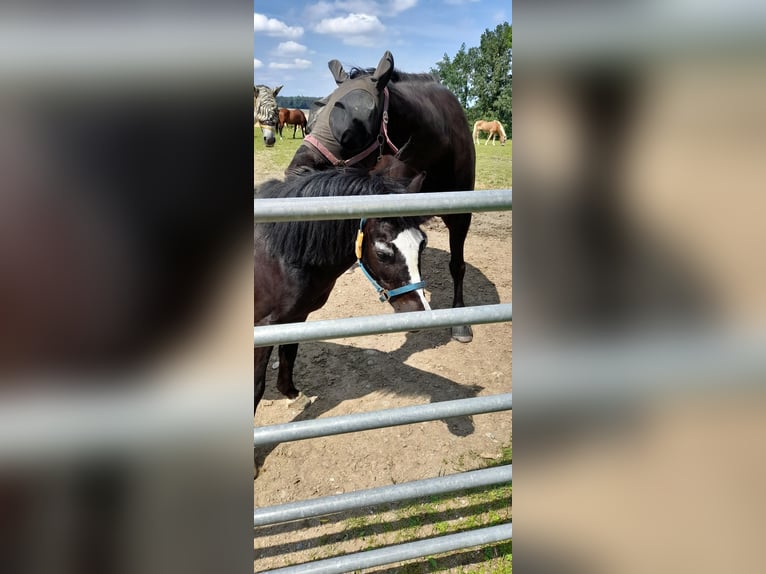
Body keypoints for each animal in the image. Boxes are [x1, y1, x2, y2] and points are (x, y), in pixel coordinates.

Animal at [255, 166, 428, 414]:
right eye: (383, 252)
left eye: (423, 244)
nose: (417, 313)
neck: (277, 255)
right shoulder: (263, 325)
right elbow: (257, 386)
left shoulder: (295, 317)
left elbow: (289, 356)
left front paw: (292, 395)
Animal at [288, 50, 480, 342]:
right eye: (311, 122)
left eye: (353, 129)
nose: (296, 172)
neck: (440, 144)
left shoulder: (461, 216)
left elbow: (456, 265)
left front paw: (460, 318)